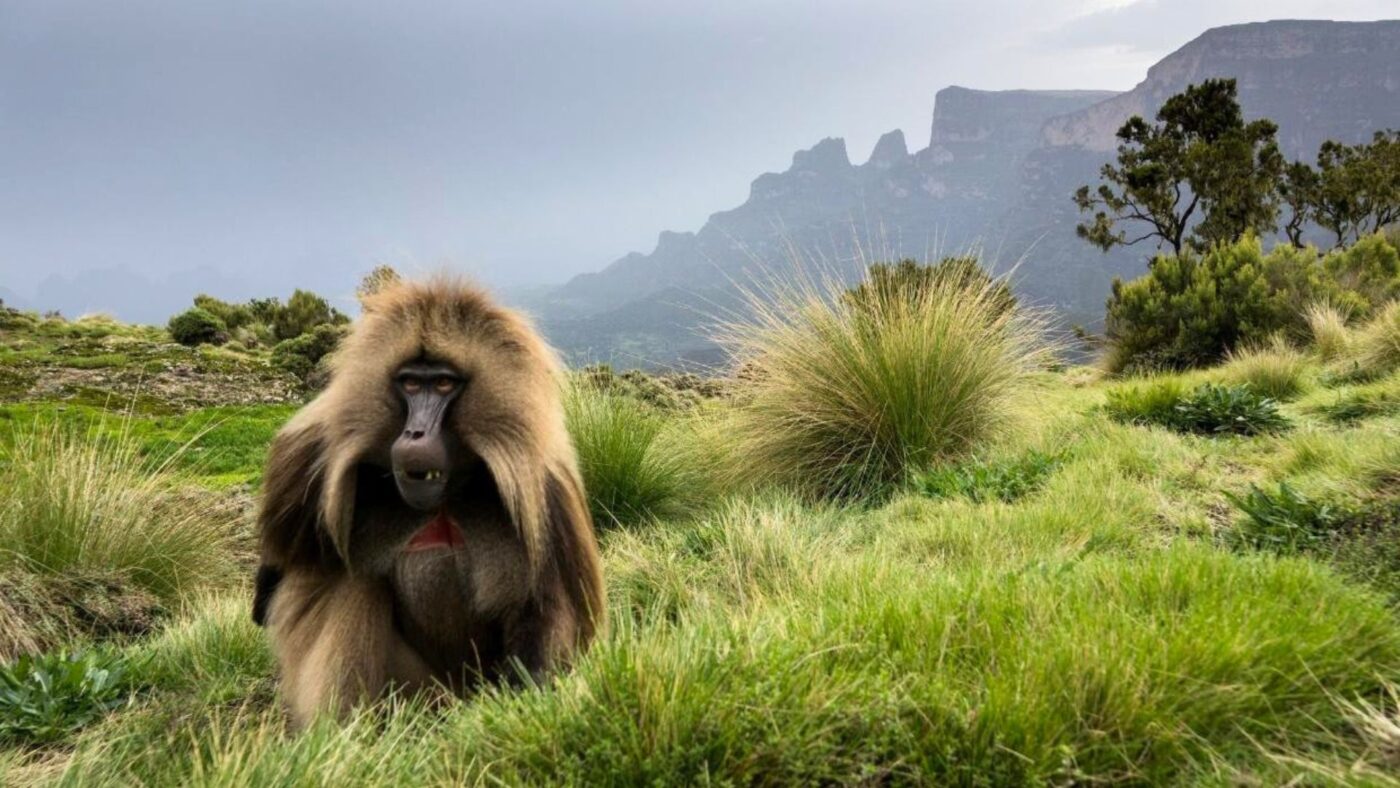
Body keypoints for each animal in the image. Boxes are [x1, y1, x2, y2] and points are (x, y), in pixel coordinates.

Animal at [251, 276, 605, 727]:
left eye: (443, 384)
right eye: (410, 384)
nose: (415, 434)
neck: (447, 497)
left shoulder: (546, 490)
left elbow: (547, 606)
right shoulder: (307, 462)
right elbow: (271, 591)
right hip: (423, 698)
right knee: (356, 583)